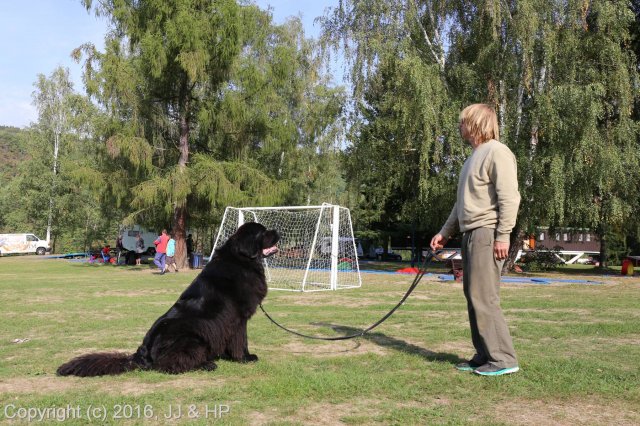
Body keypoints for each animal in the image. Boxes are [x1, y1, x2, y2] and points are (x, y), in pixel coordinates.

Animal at [58, 223, 280, 376]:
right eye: (263, 232)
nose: (277, 231)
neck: (241, 260)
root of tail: (142, 353)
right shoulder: (238, 318)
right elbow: (241, 340)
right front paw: (245, 358)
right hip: (192, 339)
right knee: (168, 365)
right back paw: (207, 364)